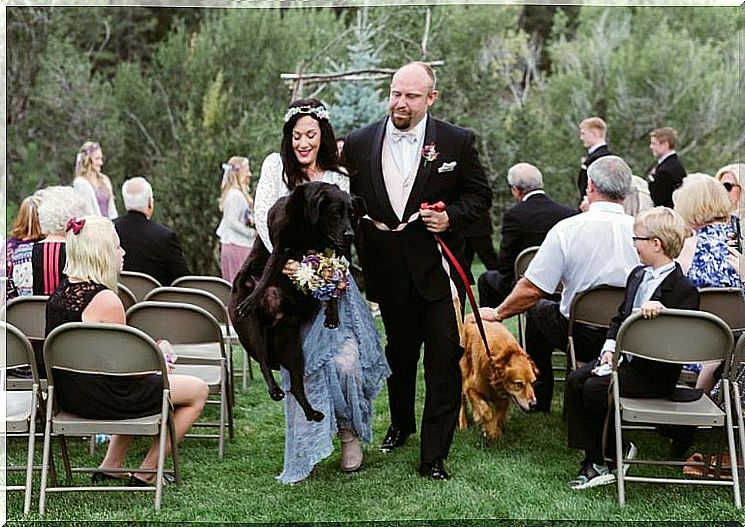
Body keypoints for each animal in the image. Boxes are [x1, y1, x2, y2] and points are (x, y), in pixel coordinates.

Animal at [230, 184, 364, 422]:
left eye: (353, 214)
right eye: (336, 213)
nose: (350, 235)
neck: (311, 227)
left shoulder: (332, 254)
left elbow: (330, 285)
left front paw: (332, 315)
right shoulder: (281, 247)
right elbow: (267, 275)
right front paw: (252, 299)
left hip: (292, 349)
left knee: (296, 386)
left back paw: (312, 412)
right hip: (252, 331)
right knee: (263, 362)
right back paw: (274, 389)